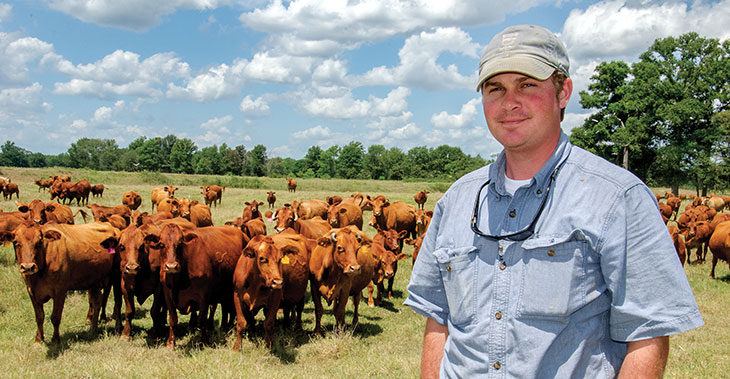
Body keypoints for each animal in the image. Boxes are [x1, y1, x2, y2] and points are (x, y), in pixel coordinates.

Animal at [155, 224, 243, 352]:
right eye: (161, 244)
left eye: (180, 243)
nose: (171, 266)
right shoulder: (167, 293)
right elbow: (172, 319)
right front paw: (171, 343)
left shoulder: (204, 295)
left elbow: (201, 320)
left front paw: (204, 342)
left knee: (229, 308)